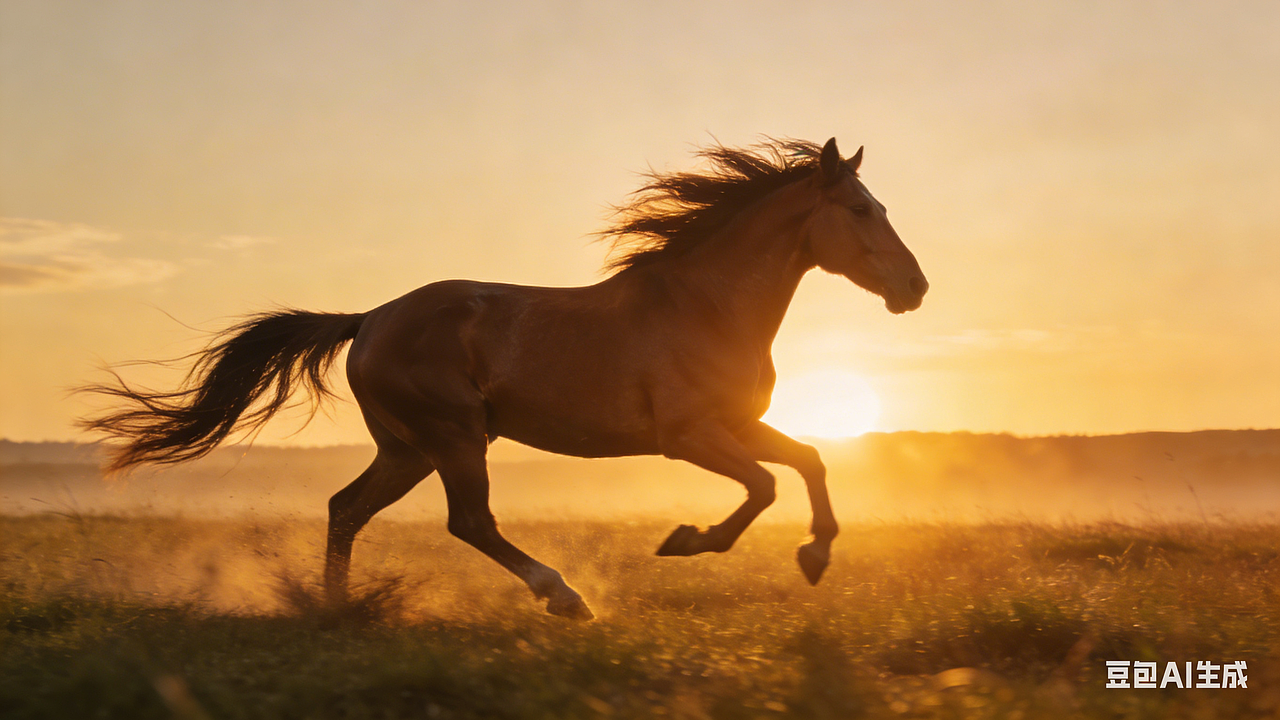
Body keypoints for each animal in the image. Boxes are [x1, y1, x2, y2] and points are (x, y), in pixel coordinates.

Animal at [82, 137, 927, 620]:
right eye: (860, 210)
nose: (914, 289)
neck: (707, 305)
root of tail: (370, 318)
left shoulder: (738, 424)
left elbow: (808, 462)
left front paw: (815, 557)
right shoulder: (686, 435)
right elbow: (764, 486)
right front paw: (688, 541)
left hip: (408, 449)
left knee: (346, 508)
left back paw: (336, 611)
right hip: (453, 437)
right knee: (468, 522)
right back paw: (564, 597)